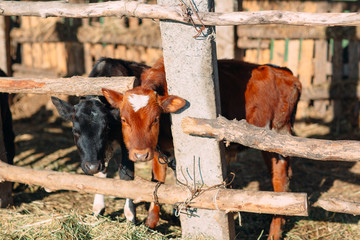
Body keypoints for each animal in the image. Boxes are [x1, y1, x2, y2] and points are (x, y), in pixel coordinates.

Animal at [102, 56, 302, 240]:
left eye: (155, 119)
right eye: (124, 119)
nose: (140, 155)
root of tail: (286, 74)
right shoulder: (160, 148)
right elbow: (157, 181)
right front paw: (150, 224)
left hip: (275, 137)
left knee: (280, 179)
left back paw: (274, 233)